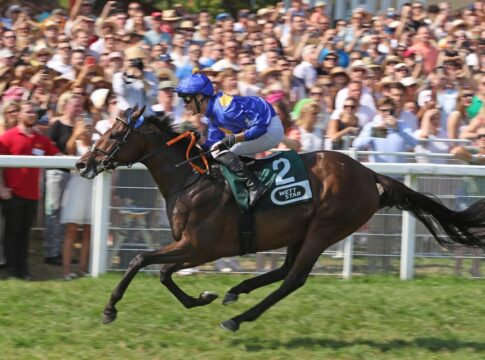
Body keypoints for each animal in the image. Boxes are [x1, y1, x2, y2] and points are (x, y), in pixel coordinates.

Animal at [74, 107, 484, 332]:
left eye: (114, 133)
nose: (82, 163)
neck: (191, 179)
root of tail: (370, 174)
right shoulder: (194, 248)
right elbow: (161, 272)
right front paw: (203, 297)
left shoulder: (199, 246)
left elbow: (141, 260)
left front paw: (110, 310)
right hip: (298, 231)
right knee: (285, 270)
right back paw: (236, 292)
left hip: (326, 228)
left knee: (293, 279)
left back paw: (238, 317)